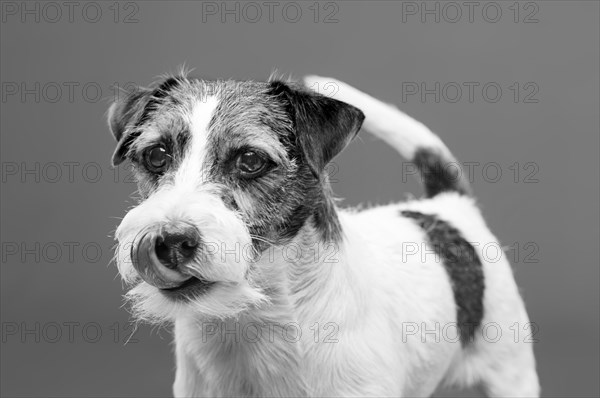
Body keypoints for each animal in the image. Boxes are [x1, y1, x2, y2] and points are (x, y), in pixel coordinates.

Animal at [108, 73, 540, 396]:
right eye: (156, 155)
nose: (169, 240)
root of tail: (449, 206)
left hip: (512, 372)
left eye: (250, 159)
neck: (257, 322)